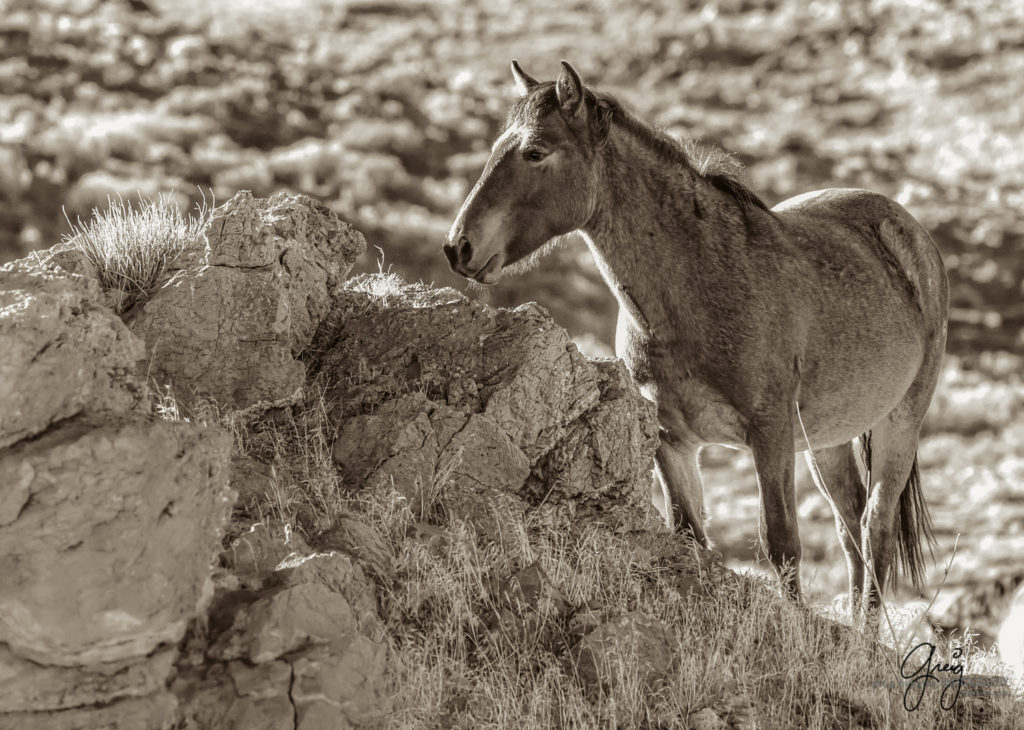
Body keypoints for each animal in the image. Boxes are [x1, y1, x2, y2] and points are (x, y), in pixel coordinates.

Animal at [444, 59, 946, 614]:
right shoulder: (673, 440)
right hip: (826, 438)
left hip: (900, 422)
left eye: (535, 152)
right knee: (850, 527)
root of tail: (907, 228)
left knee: (875, 528)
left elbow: (782, 545)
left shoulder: (769, 434)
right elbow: (690, 537)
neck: (701, 283)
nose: (458, 246)